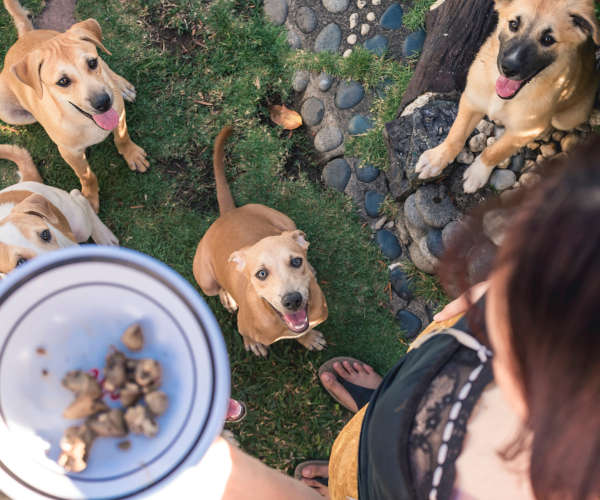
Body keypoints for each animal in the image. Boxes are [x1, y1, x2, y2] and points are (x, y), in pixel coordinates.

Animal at [0, 0, 148, 211]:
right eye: (63, 81)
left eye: (92, 62)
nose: (103, 102)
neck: (85, 121)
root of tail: (24, 36)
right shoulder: (70, 153)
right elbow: (87, 175)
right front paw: (89, 198)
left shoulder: (119, 115)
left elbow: (122, 137)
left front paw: (132, 154)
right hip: (8, 113)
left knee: (109, 67)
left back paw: (122, 86)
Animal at [0, 145, 118, 276]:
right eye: (21, 263)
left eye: (45, 234)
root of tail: (24, 182)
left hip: (79, 224)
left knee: (78, 196)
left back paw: (104, 236)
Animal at [193, 127, 328, 358]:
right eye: (261, 274)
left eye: (296, 261)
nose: (292, 300)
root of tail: (228, 213)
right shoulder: (245, 325)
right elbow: (247, 334)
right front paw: (253, 343)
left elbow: (302, 332)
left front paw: (308, 338)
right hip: (206, 280)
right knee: (217, 288)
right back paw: (227, 298)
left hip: (285, 220)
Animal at [414, 0, 596, 192]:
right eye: (513, 24)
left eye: (548, 39)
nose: (508, 68)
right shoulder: (471, 101)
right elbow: (456, 134)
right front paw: (436, 158)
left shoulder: (524, 131)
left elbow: (495, 151)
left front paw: (477, 173)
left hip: (566, 119)